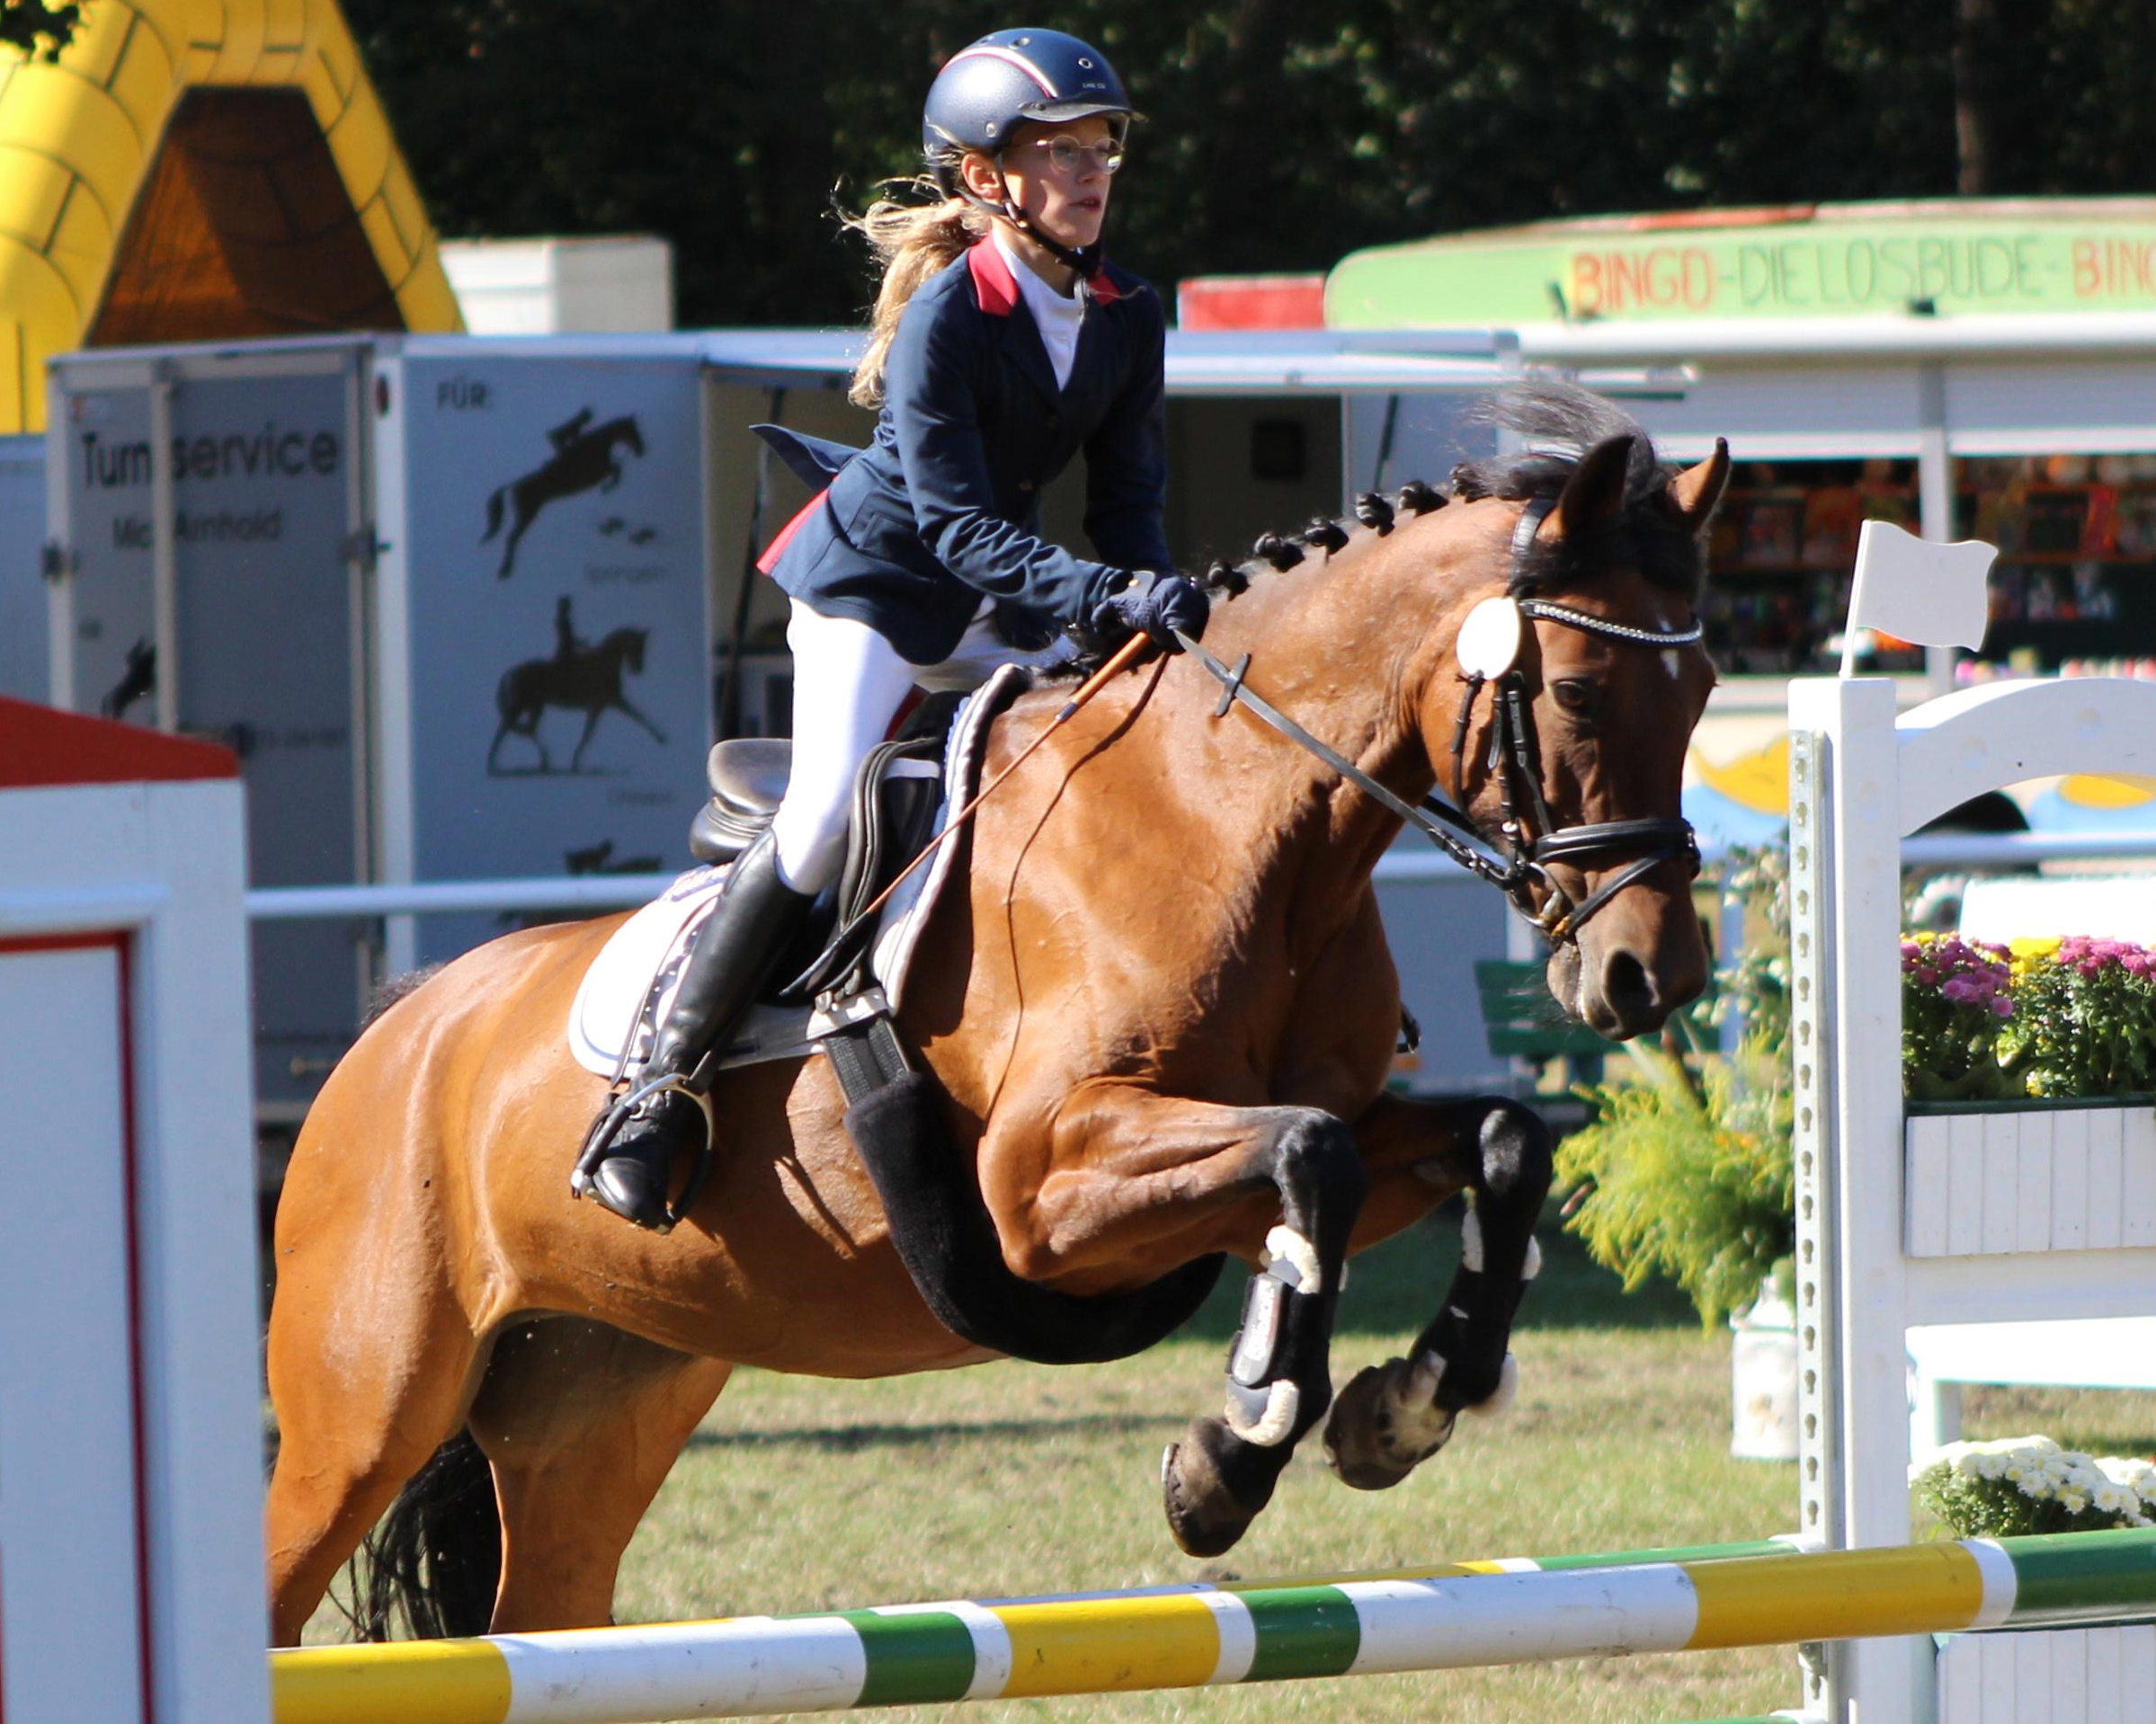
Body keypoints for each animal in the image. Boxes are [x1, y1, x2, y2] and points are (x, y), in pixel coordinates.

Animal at [481, 415, 645, 579]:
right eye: (633, 431)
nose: (641, 451)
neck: (596, 446)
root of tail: (513, 486)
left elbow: (615, 468)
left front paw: (607, 488)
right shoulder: (595, 476)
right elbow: (616, 468)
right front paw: (608, 488)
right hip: (527, 513)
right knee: (512, 538)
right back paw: (506, 569)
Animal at [486, 627, 665, 774]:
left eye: (644, 646)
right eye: (636, 646)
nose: (638, 669)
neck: (604, 665)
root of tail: (512, 671)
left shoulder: (602, 705)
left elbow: (592, 732)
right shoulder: (610, 702)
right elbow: (636, 717)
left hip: (535, 707)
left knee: (526, 729)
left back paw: (544, 761)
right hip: (523, 705)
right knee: (508, 727)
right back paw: (494, 764)